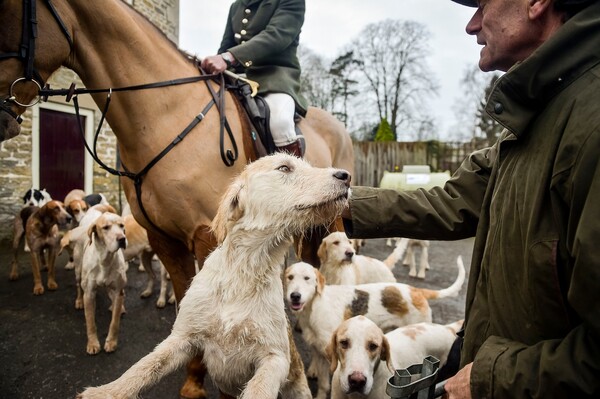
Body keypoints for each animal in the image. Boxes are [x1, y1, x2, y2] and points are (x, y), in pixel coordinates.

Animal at [80, 212, 127, 356]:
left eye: (121, 225)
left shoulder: (118, 292)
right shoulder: (89, 294)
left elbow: (114, 322)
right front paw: (93, 344)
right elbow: (90, 322)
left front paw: (111, 342)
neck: (105, 260)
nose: (122, 239)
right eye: (106, 227)